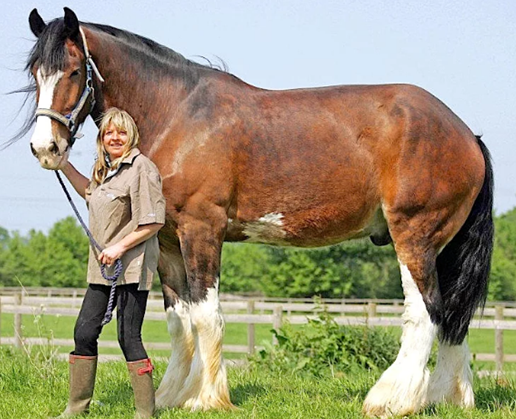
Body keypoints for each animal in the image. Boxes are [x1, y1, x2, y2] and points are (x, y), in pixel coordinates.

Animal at [25, 8, 496, 418]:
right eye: (34, 74)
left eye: (72, 71)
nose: (46, 148)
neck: (177, 114)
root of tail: (465, 134)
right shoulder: (167, 239)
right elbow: (179, 321)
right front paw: (172, 395)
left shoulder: (202, 229)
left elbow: (206, 314)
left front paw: (207, 398)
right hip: (442, 246)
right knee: (453, 317)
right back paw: (447, 398)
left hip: (414, 236)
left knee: (426, 312)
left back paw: (392, 399)